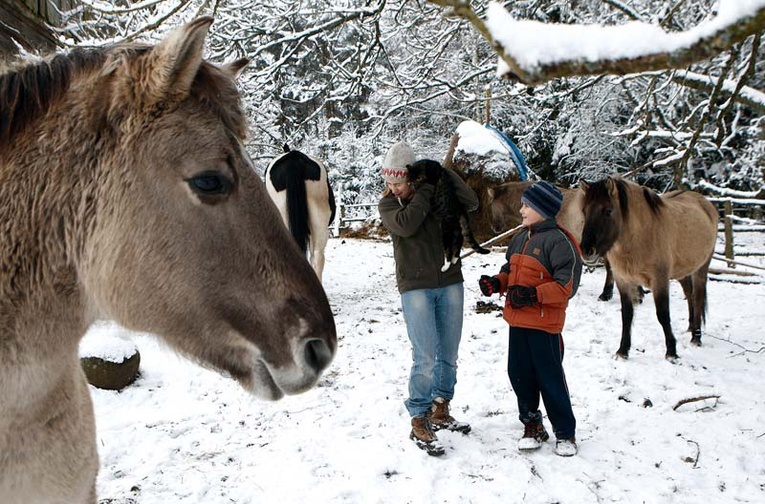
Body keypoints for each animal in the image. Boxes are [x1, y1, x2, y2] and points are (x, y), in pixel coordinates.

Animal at [580, 176, 716, 358]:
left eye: (608, 211)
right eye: (584, 211)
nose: (586, 250)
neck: (641, 236)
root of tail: (705, 204)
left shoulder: (660, 280)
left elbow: (663, 315)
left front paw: (671, 352)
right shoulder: (623, 280)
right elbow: (627, 315)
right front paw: (623, 351)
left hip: (700, 269)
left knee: (699, 298)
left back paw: (696, 337)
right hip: (683, 271)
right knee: (690, 295)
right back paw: (690, 328)